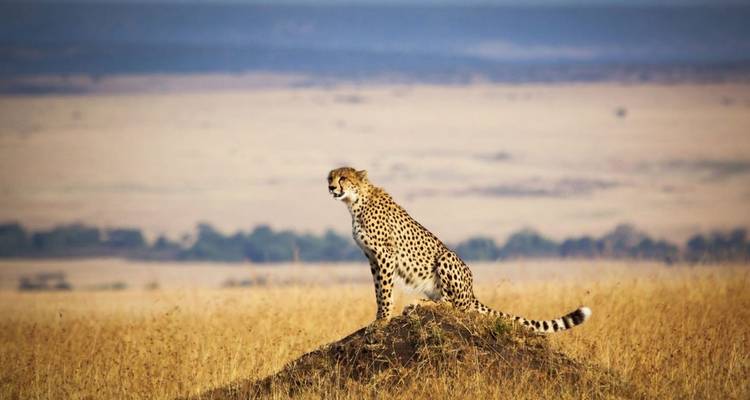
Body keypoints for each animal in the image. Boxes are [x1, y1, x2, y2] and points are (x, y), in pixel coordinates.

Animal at [328, 166, 591, 333]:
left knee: (454, 305)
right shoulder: (372, 258)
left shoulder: (385, 255)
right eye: (330, 177)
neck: (355, 202)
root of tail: (472, 292)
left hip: (446, 258)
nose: (331, 187)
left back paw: (419, 304)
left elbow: (384, 290)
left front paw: (382, 320)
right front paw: (380, 316)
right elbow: (378, 290)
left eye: (343, 178)